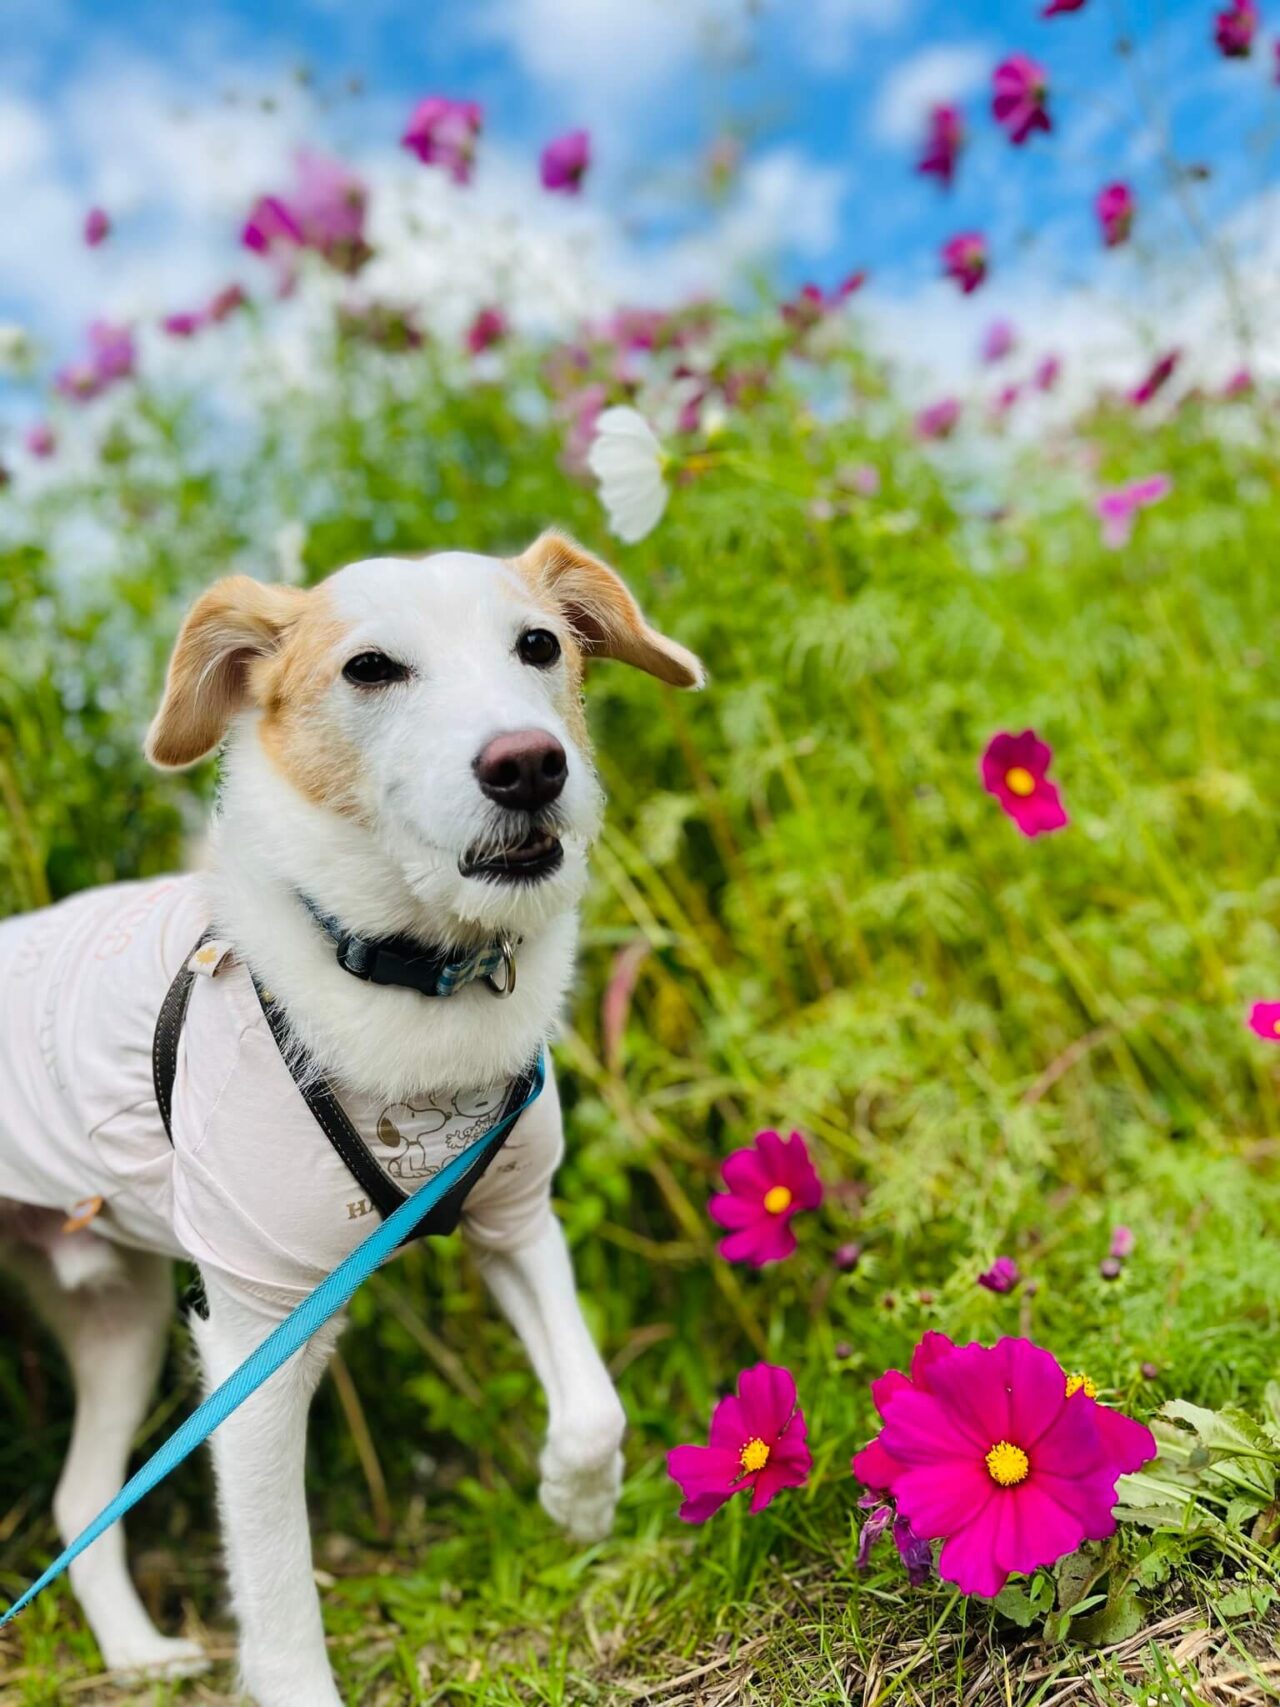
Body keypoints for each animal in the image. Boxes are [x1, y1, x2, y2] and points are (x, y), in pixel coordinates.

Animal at [0, 532, 706, 1707]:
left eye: (538, 645)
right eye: (371, 669)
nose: (529, 764)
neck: (412, 972)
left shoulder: (515, 1219)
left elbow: (592, 1406)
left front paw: (580, 1501)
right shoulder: (250, 1331)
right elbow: (280, 1592)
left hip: (119, 1322)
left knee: (77, 1500)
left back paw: (139, 1655)